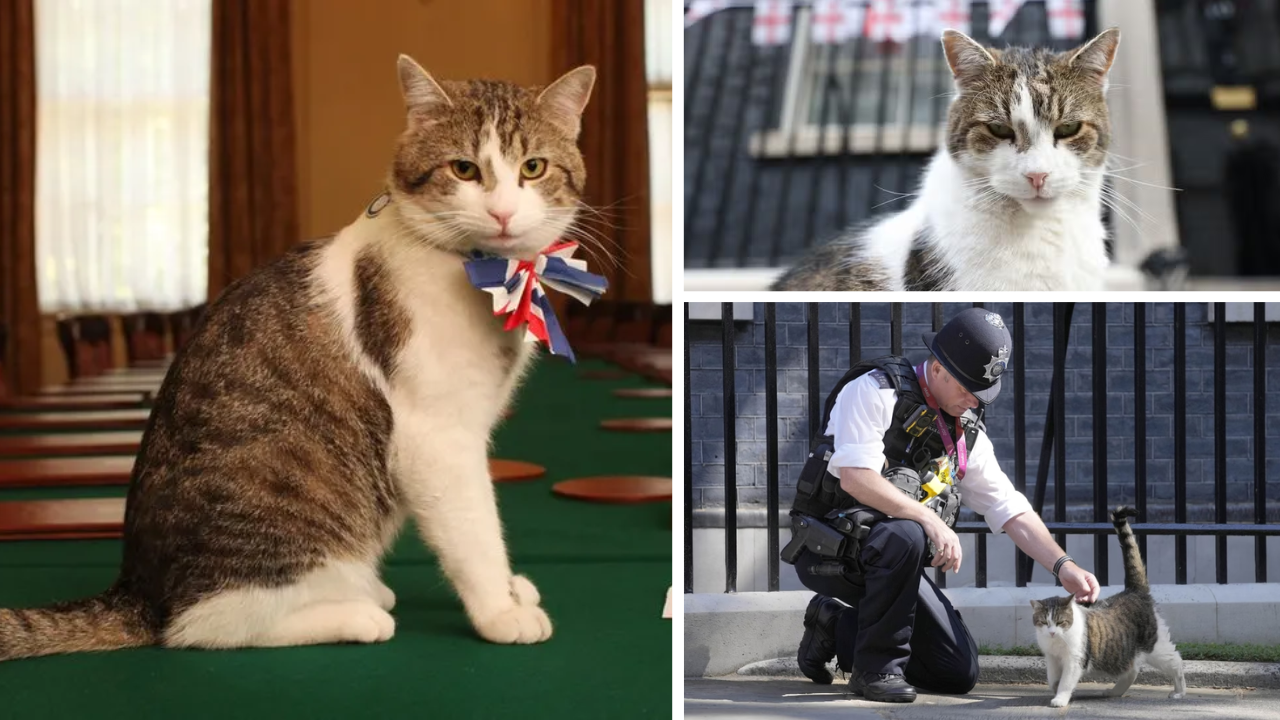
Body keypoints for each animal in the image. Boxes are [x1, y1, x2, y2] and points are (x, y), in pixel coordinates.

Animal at [0, 56, 599, 661]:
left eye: (533, 167)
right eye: (464, 169)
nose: (502, 213)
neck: (485, 272)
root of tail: (137, 589)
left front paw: (511, 592)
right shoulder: (437, 437)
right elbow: (476, 529)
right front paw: (501, 610)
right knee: (200, 626)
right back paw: (356, 613)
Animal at [1024, 507, 1182, 702]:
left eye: (1060, 622)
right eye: (1044, 622)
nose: (1052, 632)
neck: (1058, 641)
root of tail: (1134, 590)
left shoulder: (1075, 660)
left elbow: (1066, 681)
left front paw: (1060, 699)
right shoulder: (1052, 659)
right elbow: (1053, 679)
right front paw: (1055, 690)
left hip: (1156, 648)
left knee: (1176, 662)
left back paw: (1179, 692)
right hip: (1124, 652)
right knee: (1132, 670)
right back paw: (1115, 692)